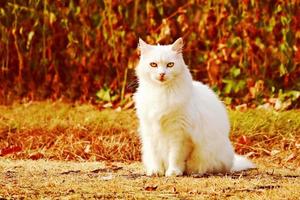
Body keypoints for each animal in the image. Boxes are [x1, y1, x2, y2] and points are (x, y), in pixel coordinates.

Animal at [135, 38, 254, 177]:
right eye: (153, 64)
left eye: (170, 65)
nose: (162, 74)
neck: (161, 93)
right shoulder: (150, 131)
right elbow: (155, 156)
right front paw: (155, 171)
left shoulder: (180, 134)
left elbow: (175, 156)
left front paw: (173, 171)